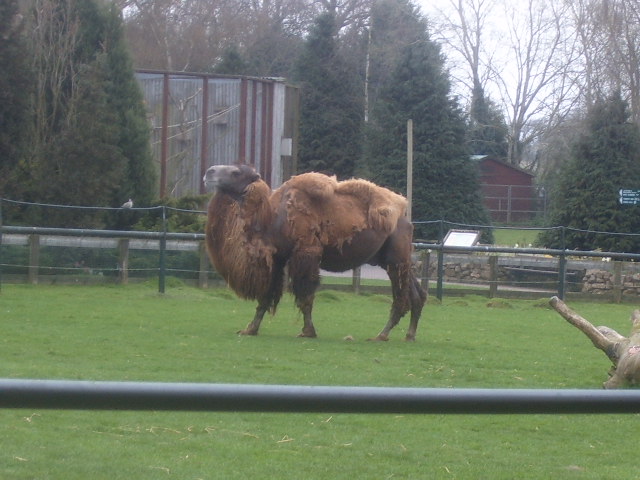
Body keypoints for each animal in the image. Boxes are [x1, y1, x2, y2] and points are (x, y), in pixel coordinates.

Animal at [203, 164, 426, 341]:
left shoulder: (306, 252)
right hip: (389, 259)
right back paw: (409, 334)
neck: (271, 217)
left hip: (396, 257)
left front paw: (307, 331)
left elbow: (305, 295)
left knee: (401, 297)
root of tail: (405, 217)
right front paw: (250, 329)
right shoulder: (278, 258)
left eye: (235, 172)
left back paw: (382, 335)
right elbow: (266, 297)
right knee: (417, 293)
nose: (208, 172)